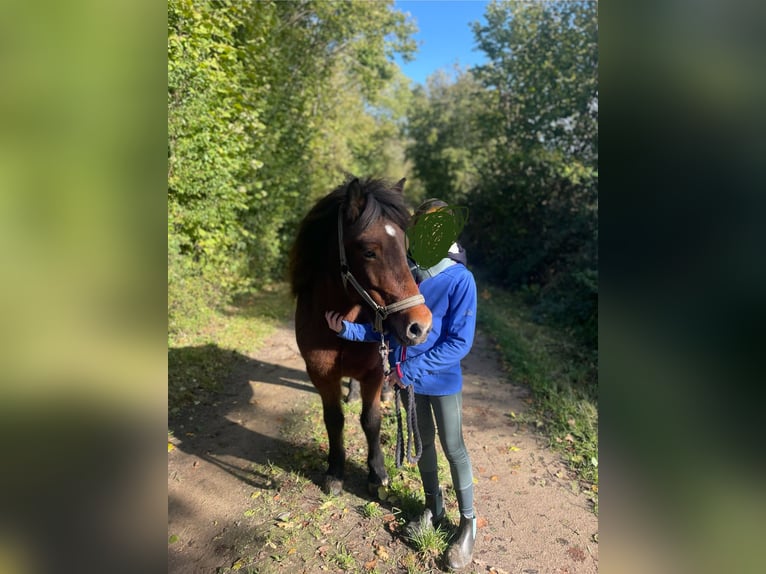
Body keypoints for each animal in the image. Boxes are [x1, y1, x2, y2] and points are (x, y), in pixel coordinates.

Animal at [290, 178, 432, 498]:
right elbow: (334, 420)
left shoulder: (373, 374)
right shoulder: (321, 374)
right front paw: (334, 472)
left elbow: (371, 420)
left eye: (404, 247)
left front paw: (377, 473)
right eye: (369, 251)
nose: (420, 325)